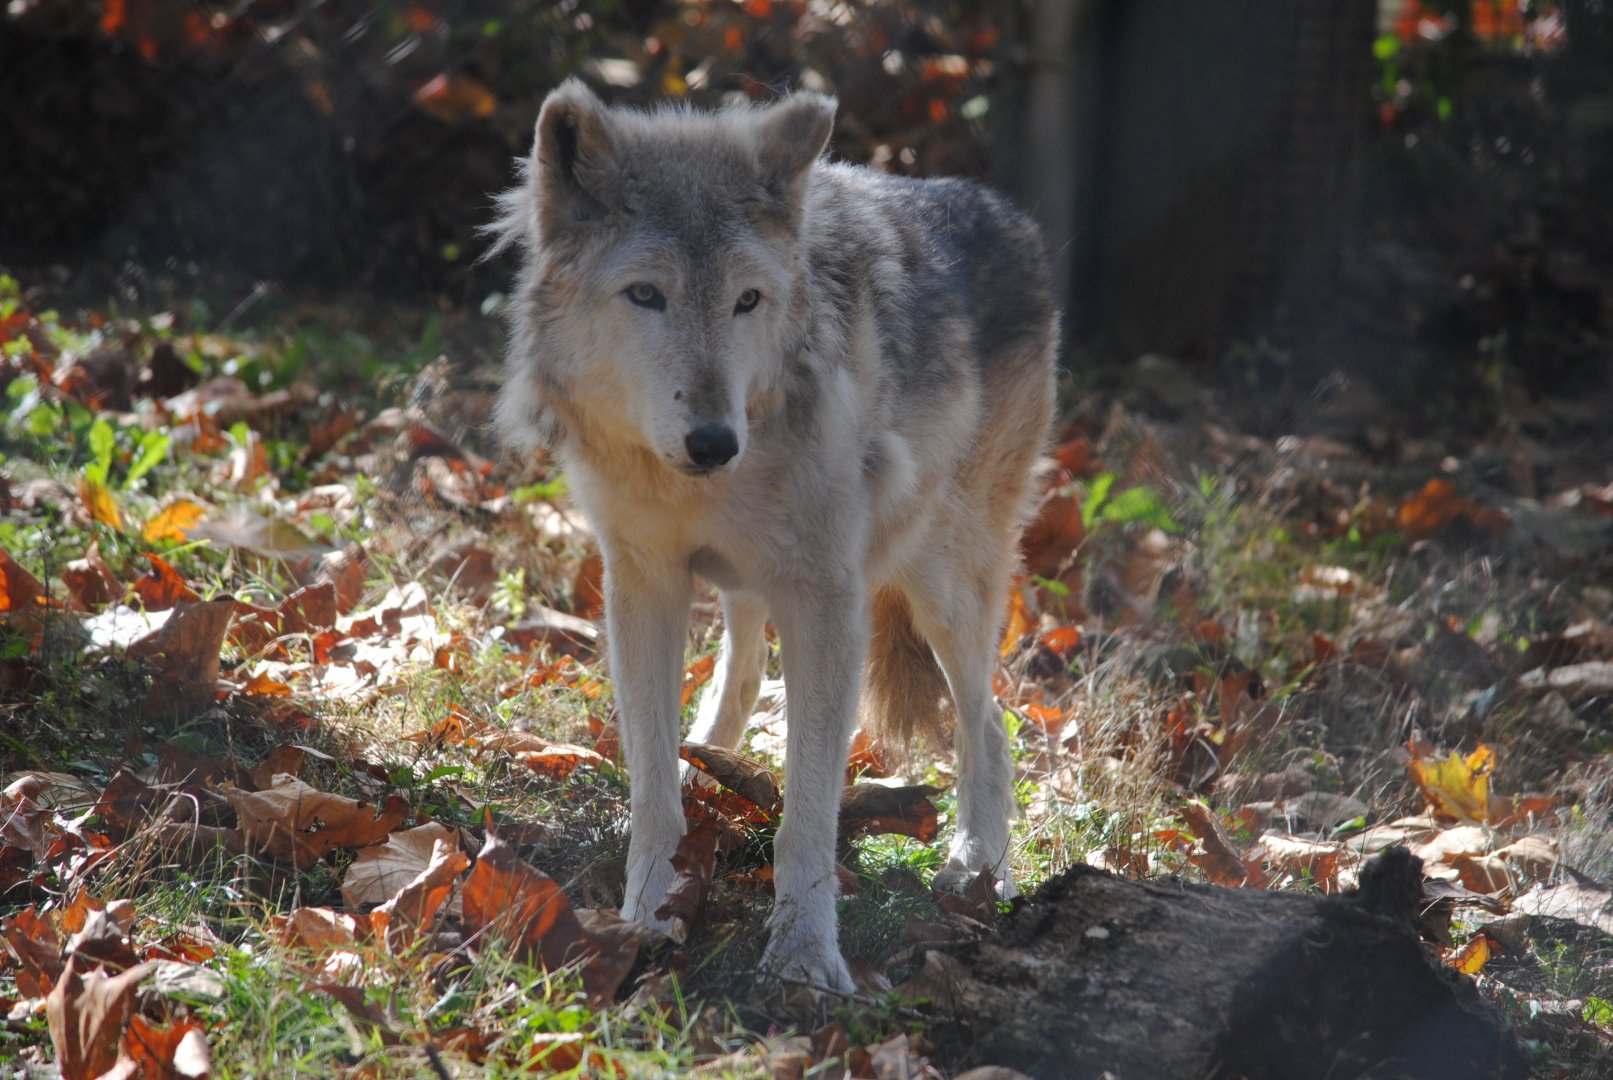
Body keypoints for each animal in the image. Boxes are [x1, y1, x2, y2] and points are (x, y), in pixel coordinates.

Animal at [491, 79, 1057, 992]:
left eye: (746, 301)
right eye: (644, 294)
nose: (714, 442)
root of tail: (1005, 211)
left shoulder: (827, 599)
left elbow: (808, 809)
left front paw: (803, 954)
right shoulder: (642, 578)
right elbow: (652, 785)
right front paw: (644, 915)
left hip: (941, 583)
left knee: (991, 727)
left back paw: (978, 870)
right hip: (754, 580)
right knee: (745, 678)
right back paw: (711, 767)